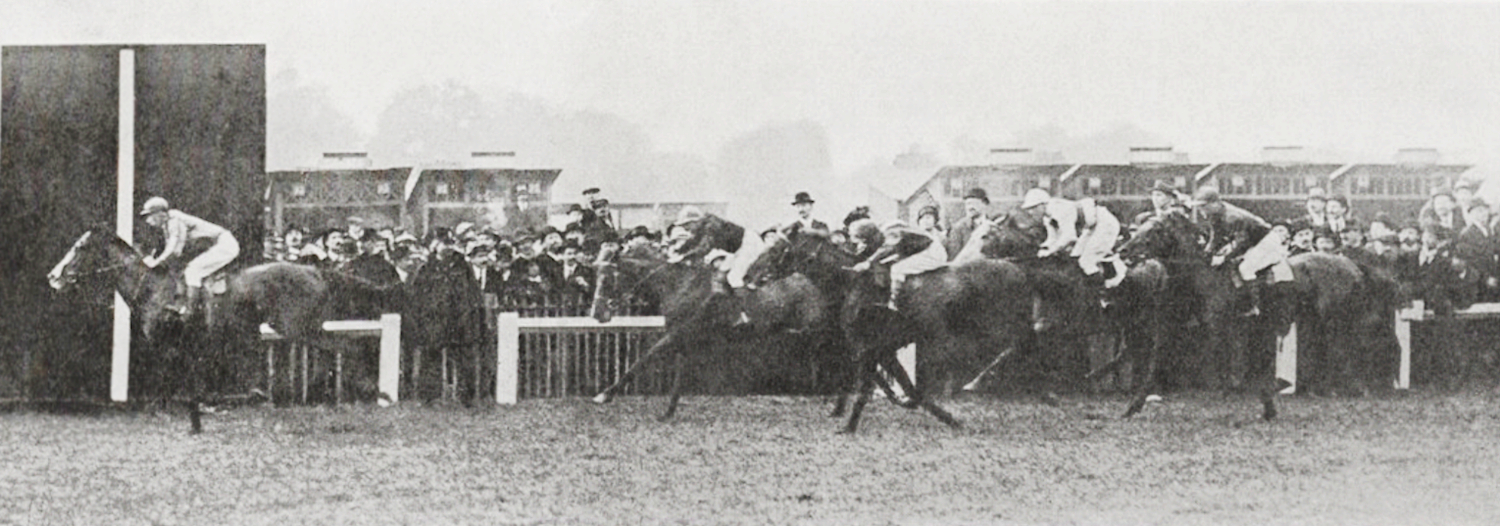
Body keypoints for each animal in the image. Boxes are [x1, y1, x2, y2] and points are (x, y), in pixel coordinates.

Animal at [588, 252, 837, 420]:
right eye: (596, 277)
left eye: (607, 279)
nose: (596, 313)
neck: (679, 286)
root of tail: (812, 283)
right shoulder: (683, 338)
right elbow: (678, 373)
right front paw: (669, 411)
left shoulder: (675, 334)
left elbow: (643, 359)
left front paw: (605, 394)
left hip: (812, 331)